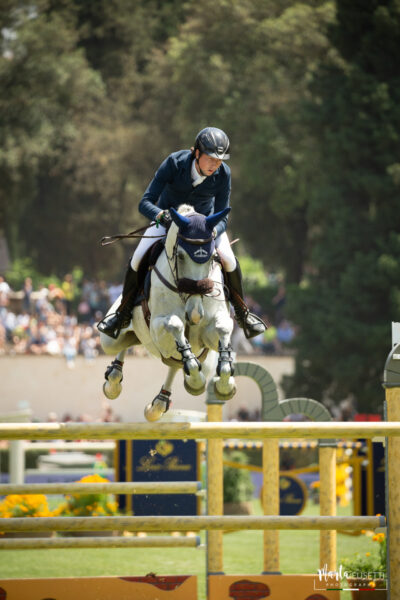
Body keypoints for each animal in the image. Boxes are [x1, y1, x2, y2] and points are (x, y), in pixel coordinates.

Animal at [99, 206, 236, 422]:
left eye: (213, 258)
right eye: (180, 256)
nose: (195, 314)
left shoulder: (208, 334)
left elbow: (222, 328)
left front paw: (224, 382)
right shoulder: (158, 329)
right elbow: (175, 324)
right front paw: (197, 379)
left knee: (174, 363)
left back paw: (160, 402)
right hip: (111, 340)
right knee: (123, 344)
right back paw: (113, 379)